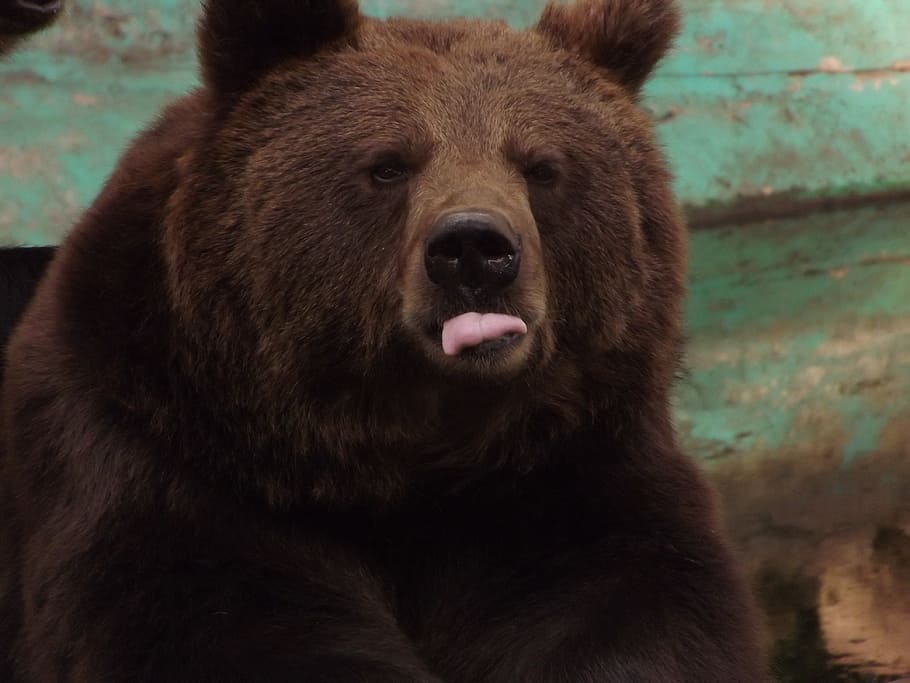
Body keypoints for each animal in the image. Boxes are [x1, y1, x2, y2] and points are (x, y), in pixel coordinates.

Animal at [0, 0, 768, 680]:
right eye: (389, 164)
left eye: (542, 166)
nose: (474, 250)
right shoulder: (164, 452)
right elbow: (226, 624)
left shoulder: (566, 469)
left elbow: (632, 613)